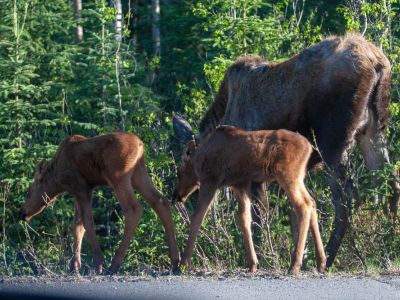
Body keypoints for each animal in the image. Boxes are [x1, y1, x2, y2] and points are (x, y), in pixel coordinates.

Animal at [19, 132, 179, 274]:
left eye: (28, 192)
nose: (22, 213)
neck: (57, 178)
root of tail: (140, 145)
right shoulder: (80, 191)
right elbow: (77, 227)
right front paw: (74, 266)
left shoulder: (81, 187)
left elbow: (87, 223)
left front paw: (98, 264)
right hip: (138, 175)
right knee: (161, 202)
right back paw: (175, 263)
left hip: (118, 177)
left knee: (134, 209)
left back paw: (114, 265)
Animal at [174, 31, 400, 268]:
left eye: (183, 166)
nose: (177, 196)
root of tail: (377, 62)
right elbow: (293, 214)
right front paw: (298, 254)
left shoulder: (255, 174)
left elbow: (259, 217)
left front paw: (265, 255)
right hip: (373, 130)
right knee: (391, 185)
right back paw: (388, 244)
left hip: (332, 141)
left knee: (347, 198)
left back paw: (328, 257)